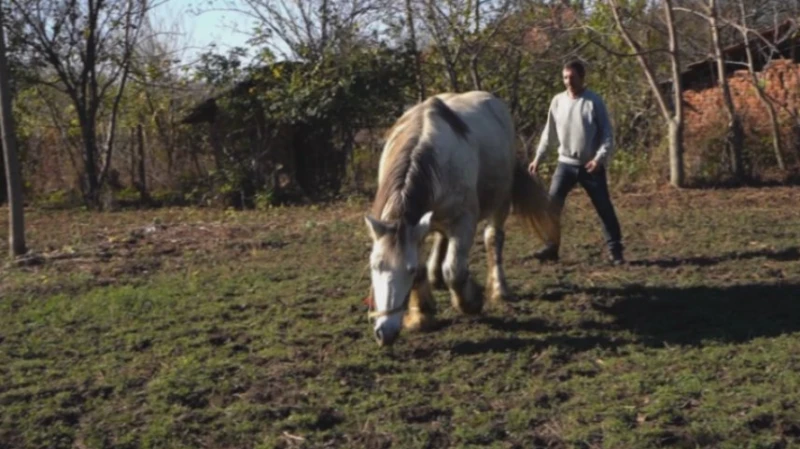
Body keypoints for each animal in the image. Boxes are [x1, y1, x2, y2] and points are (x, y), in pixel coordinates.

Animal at [366, 89, 560, 344]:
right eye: (375, 266)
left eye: (407, 270)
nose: (384, 332)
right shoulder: (417, 228)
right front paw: (421, 315)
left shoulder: (464, 222)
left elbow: (455, 271)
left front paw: (471, 302)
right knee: (442, 237)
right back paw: (435, 276)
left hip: (500, 202)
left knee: (493, 239)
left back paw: (499, 289)